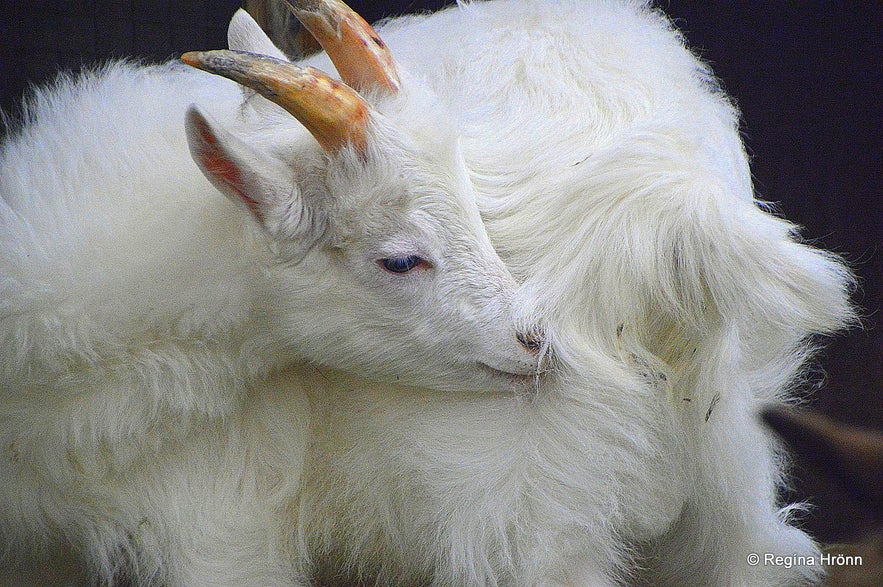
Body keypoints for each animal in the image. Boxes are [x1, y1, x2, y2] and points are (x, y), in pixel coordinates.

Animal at [0, 1, 856, 587]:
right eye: (400, 259)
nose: (534, 341)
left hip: (520, 510)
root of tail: (674, 199)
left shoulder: (221, 521)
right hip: (729, 484)